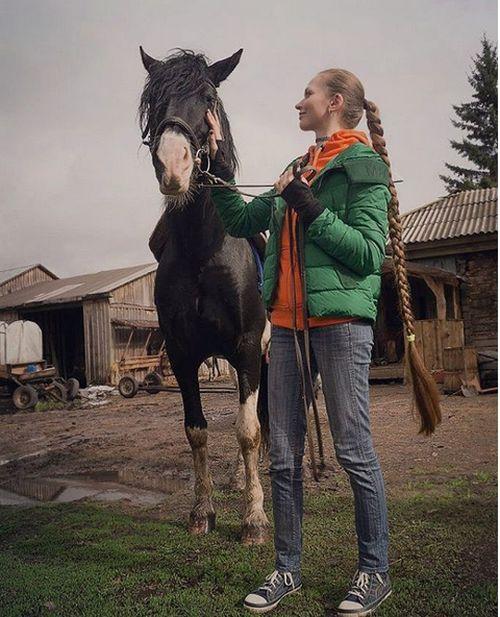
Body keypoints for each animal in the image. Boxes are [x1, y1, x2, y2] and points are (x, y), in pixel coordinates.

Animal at [139, 47, 272, 544]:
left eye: (209, 98)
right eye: (154, 99)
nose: (173, 165)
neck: (204, 249)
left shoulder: (248, 346)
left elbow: (249, 430)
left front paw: (254, 519)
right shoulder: (183, 354)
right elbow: (196, 430)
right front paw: (203, 511)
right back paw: (237, 479)